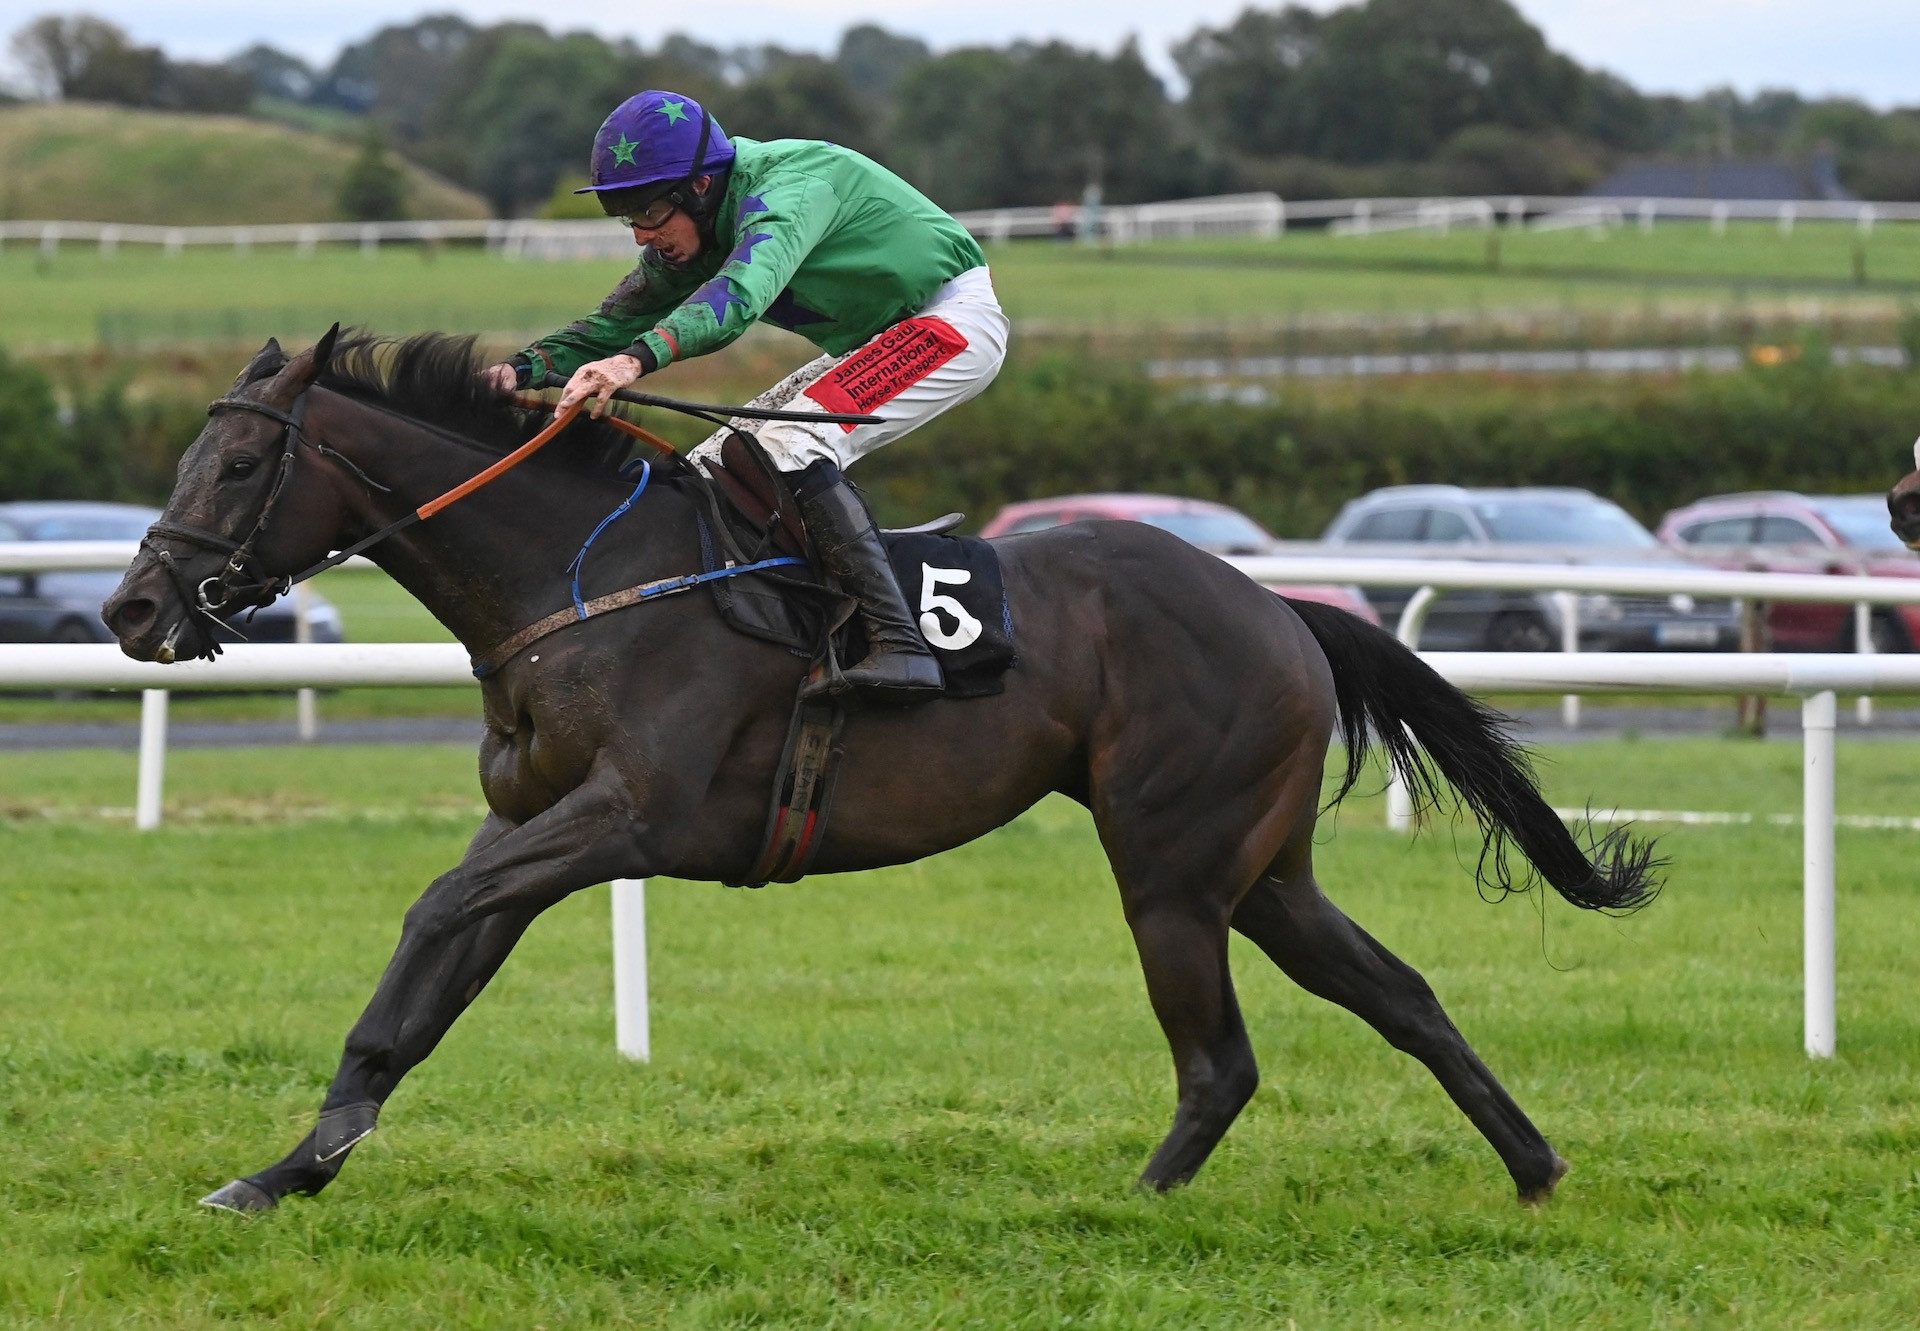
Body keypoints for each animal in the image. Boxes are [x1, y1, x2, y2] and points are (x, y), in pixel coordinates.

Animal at [101, 326, 1651, 1206]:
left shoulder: (628, 819)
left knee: (1222, 1057)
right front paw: (292, 1166)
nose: (132, 607)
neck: (582, 575)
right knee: (1397, 989)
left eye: (233, 468)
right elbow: (417, 995)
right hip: (1259, 867)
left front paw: (314, 1150)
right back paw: (1535, 1168)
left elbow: (429, 912)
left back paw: (1134, 1201)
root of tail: (1280, 604)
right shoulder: (540, 830)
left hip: (1172, 866)